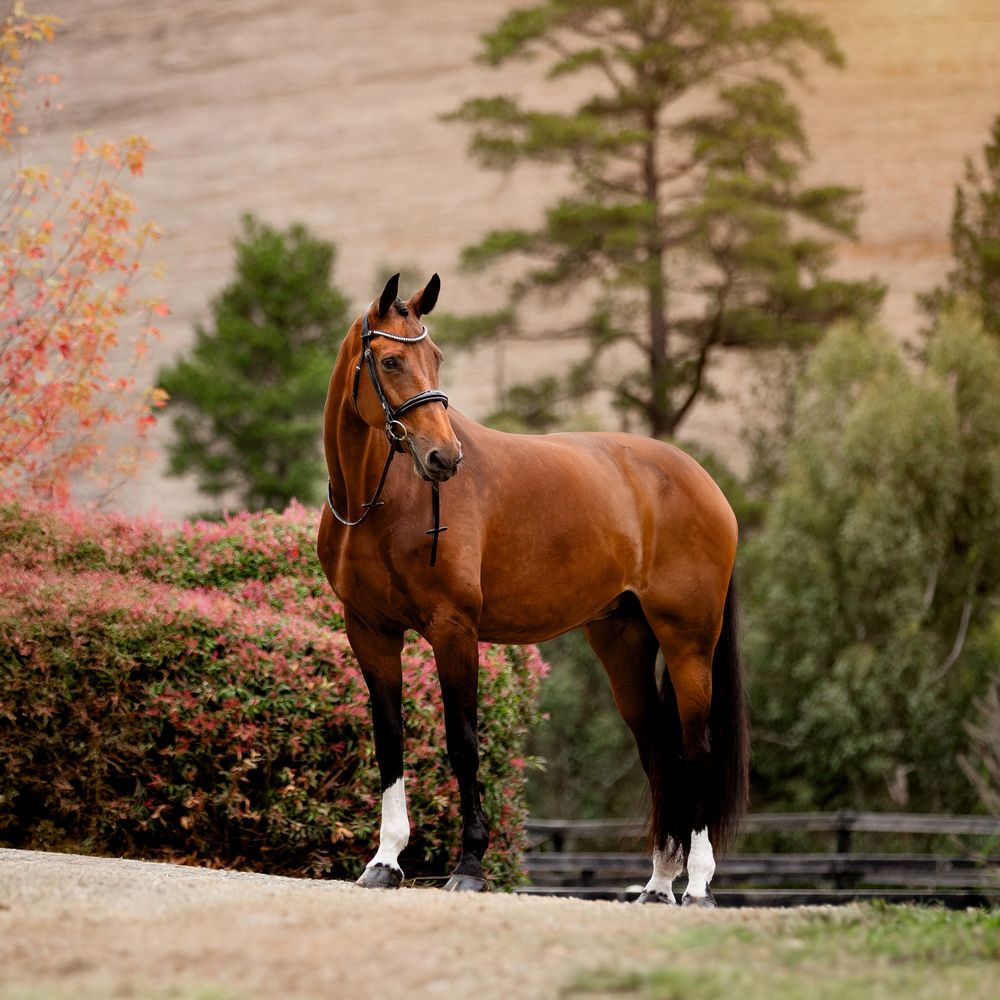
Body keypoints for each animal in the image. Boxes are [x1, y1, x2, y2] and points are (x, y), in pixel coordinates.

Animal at [317, 273, 748, 905]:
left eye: (436, 357)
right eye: (392, 360)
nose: (444, 458)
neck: (381, 500)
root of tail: (704, 482)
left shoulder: (453, 629)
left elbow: (464, 742)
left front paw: (470, 865)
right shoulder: (370, 631)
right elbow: (389, 739)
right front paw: (386, 861)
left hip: (688, 643)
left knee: (696, 749)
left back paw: (696, 884)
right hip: (623, 643)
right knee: (658, 750)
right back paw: (657, 884)